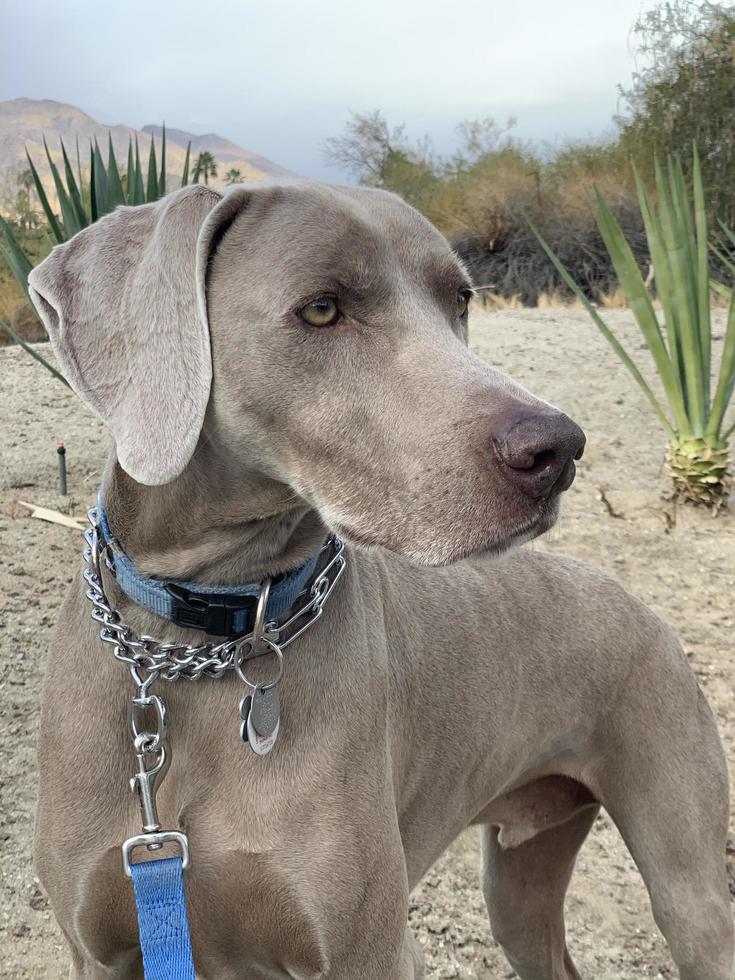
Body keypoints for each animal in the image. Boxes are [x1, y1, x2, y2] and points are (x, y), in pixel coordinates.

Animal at [25, 180, 732, 976]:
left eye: (460, 300)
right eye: (321, 308)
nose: (557, 450)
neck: (204, 632)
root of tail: (643, 607)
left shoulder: (371, 947)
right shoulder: (103, 946)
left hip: (684, 875)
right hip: (521, 882)